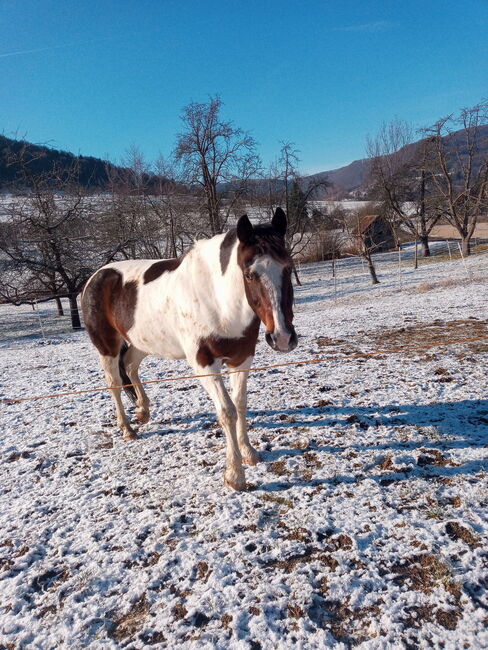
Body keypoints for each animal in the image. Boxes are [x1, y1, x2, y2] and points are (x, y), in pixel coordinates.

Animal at [81, 208, 298, 486]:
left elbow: (240, 404)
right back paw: (127, 429)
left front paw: (249, 453)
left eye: (288, 267)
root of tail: (97, 276)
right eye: (250, 274)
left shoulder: (241, 358)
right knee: (114, 383)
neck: (218, 300)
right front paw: (234, 475)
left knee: (129, 365)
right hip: (107, 346)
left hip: (143, 341)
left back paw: (142, 411)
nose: (282, 337)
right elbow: (227, 411)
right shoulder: (204, 364)